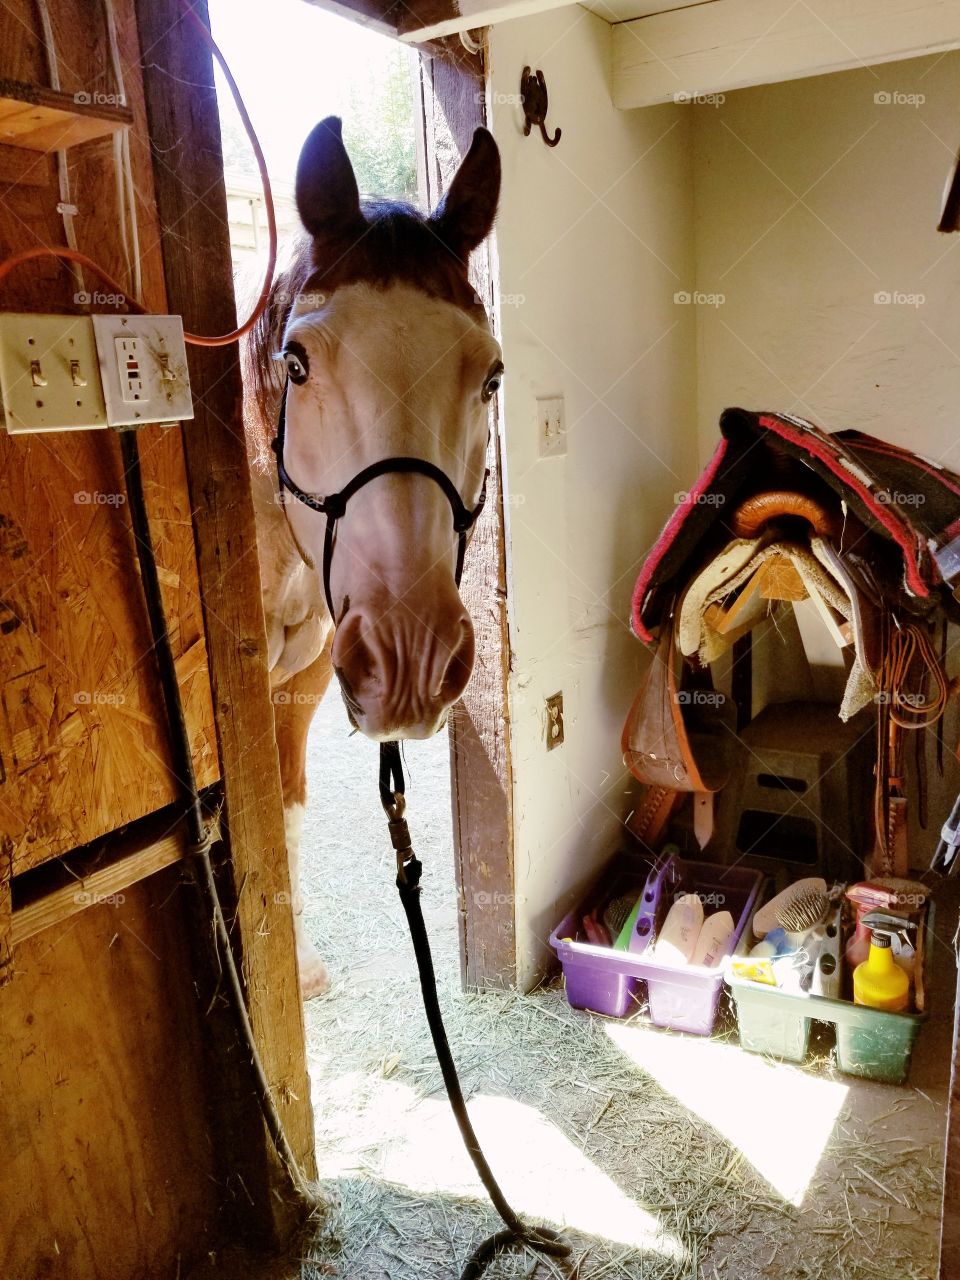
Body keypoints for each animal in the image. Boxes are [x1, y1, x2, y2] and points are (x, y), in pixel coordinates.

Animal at [241, 117, 504, 998]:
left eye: (492, 377)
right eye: (296, 362)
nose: (411, 654)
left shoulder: (303, 681)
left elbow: (286, 818)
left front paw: (294, 964)